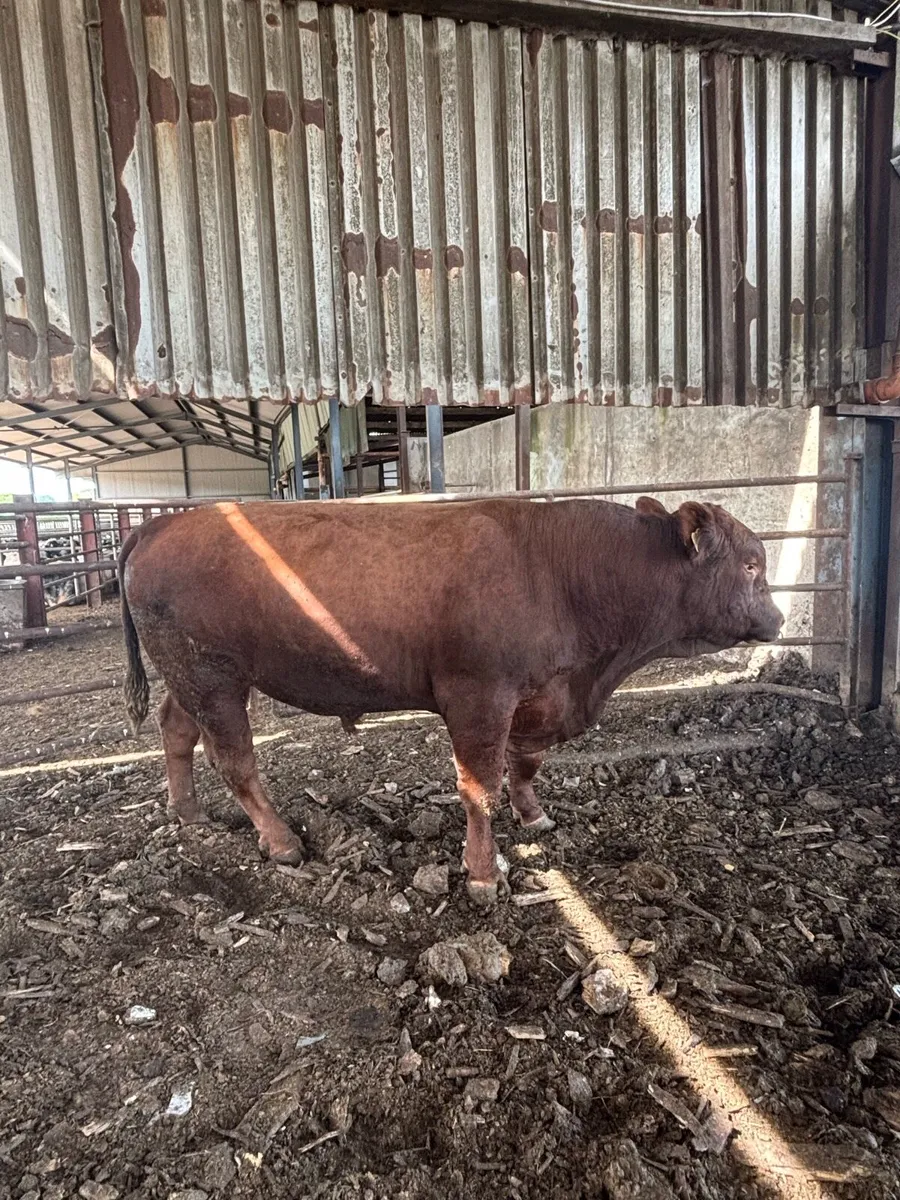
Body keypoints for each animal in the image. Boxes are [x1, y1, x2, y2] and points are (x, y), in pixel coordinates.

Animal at [118, 495, 783, 905]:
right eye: (752, 564)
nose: (778, 620)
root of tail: (163, 523)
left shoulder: (535, 696)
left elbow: (525, 764)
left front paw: (534, 814)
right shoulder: (479, 697)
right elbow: (479, 786)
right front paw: (485, 873)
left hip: (190, 678)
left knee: (176, 729)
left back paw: (187, 811)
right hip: (212, 675)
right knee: (235, 760)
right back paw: (280, 841)